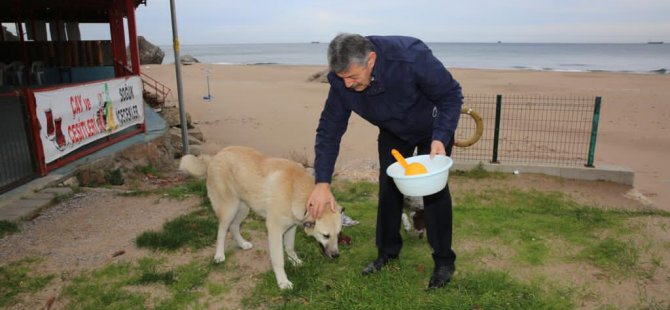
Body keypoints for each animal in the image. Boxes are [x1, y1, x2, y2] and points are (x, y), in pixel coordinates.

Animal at [180, 147, 342, 290]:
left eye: (338, 235)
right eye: (325, 235)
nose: (336, 255)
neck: (295, 190)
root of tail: (215, 156)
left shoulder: (291, 227)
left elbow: (290, 247)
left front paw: (295, 261)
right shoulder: (275, 231)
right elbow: (278, 260)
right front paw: (282, 282)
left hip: (243, 208)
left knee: (234, 226)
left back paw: (242, 244)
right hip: (229, 209)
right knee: (221, 232)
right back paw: (219, 255)